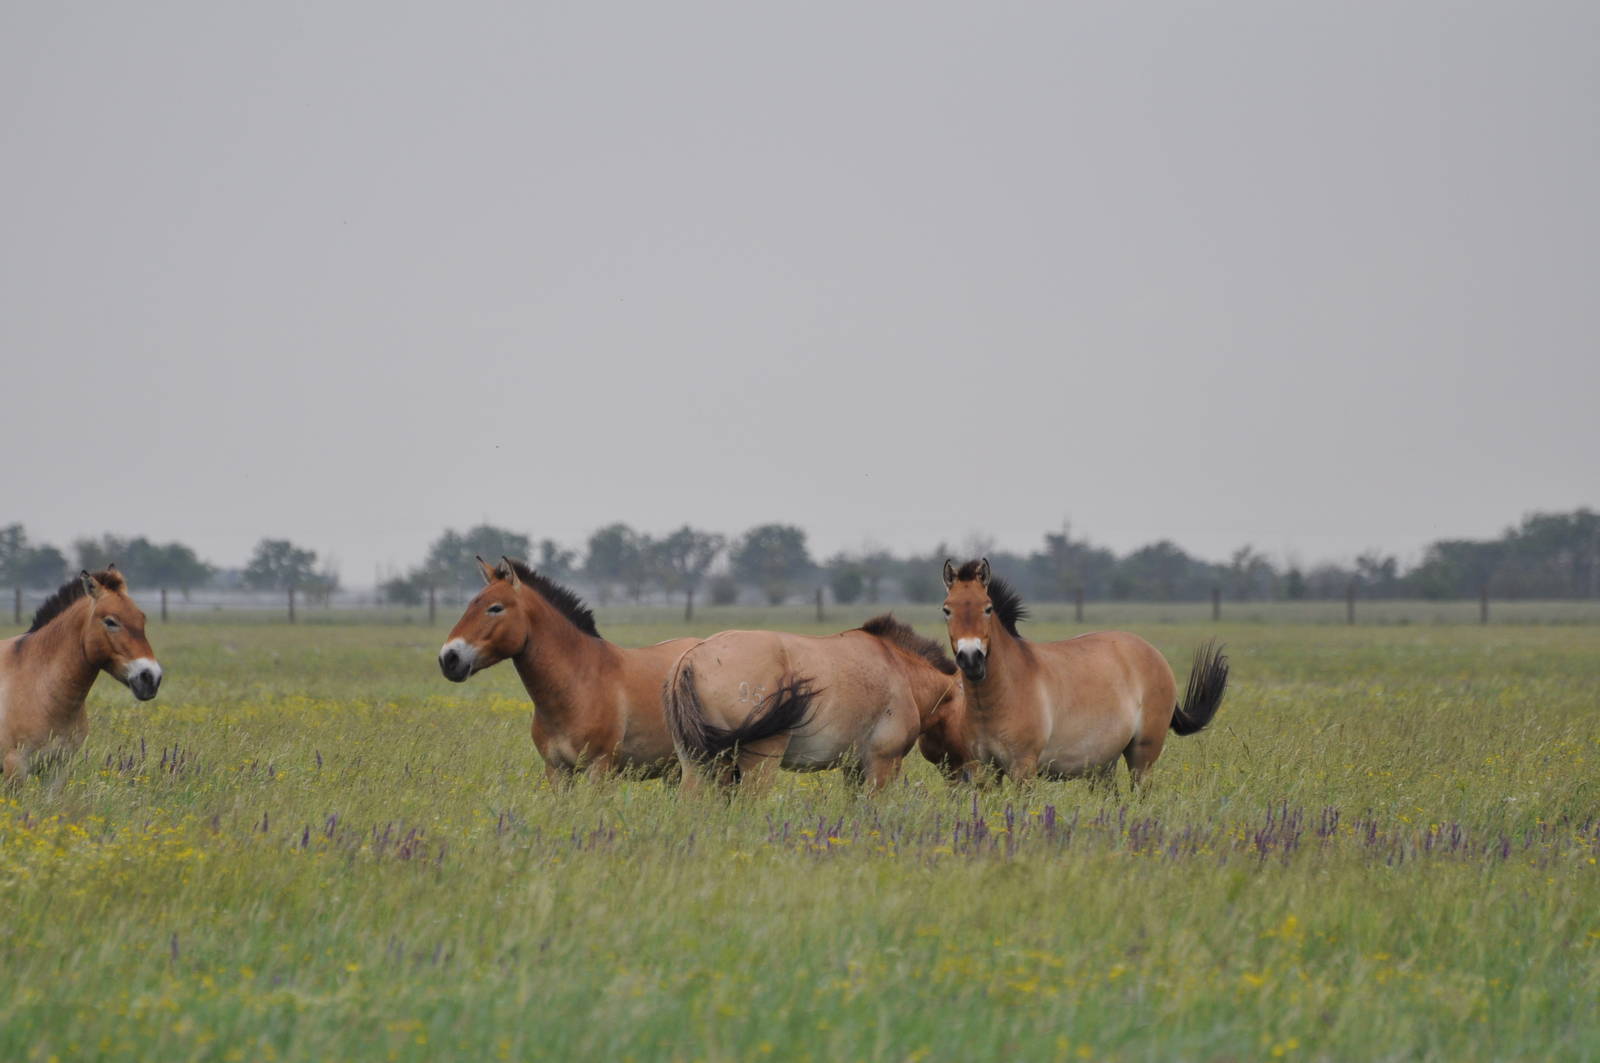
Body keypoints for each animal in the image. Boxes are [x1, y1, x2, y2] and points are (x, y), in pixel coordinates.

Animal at [0, 567, 163, 784]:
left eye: (142, 619)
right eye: (110, 621)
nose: (151, 678)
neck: (39, 686)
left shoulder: (57, 769)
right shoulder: (15, 767)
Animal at [438, 557, 698, 780]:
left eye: (495, 608)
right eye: (470, 604)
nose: (448, 658)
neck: (579, 684)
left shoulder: (599, 769)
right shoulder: (557, 771)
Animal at [665, 613, 963, 792]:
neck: (900, 670)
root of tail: (691, 657)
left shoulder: (854, 768)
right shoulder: (882, 764)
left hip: (698, 764)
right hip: (758, 764)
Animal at [940, 559, 1228, 786]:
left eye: (988, 608)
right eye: (946, 609)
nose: (971, 658)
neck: (1003, 692)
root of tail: (1154, 654)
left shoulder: (1024, 769)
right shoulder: (984, 771)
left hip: (1142, 758)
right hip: (1104, 765)